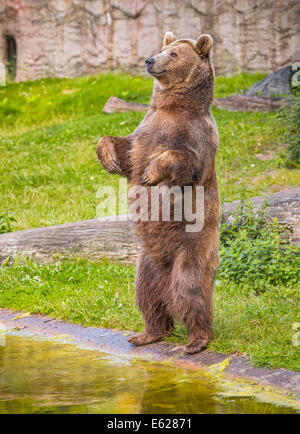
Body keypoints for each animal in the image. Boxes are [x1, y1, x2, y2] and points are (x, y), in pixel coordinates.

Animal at [98, 32, 220, 354]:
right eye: (163, 48)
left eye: (174, 54)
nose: (150, 60)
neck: (173, 107)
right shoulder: (144, 130)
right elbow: (125, 150)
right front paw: (108, 157)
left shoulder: (197, 136)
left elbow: (184, 160)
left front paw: (152, 173)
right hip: (148, 263)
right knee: (147, 295)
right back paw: (147, 333)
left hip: (192, 247)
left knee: (189, 289)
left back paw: (197, 340)